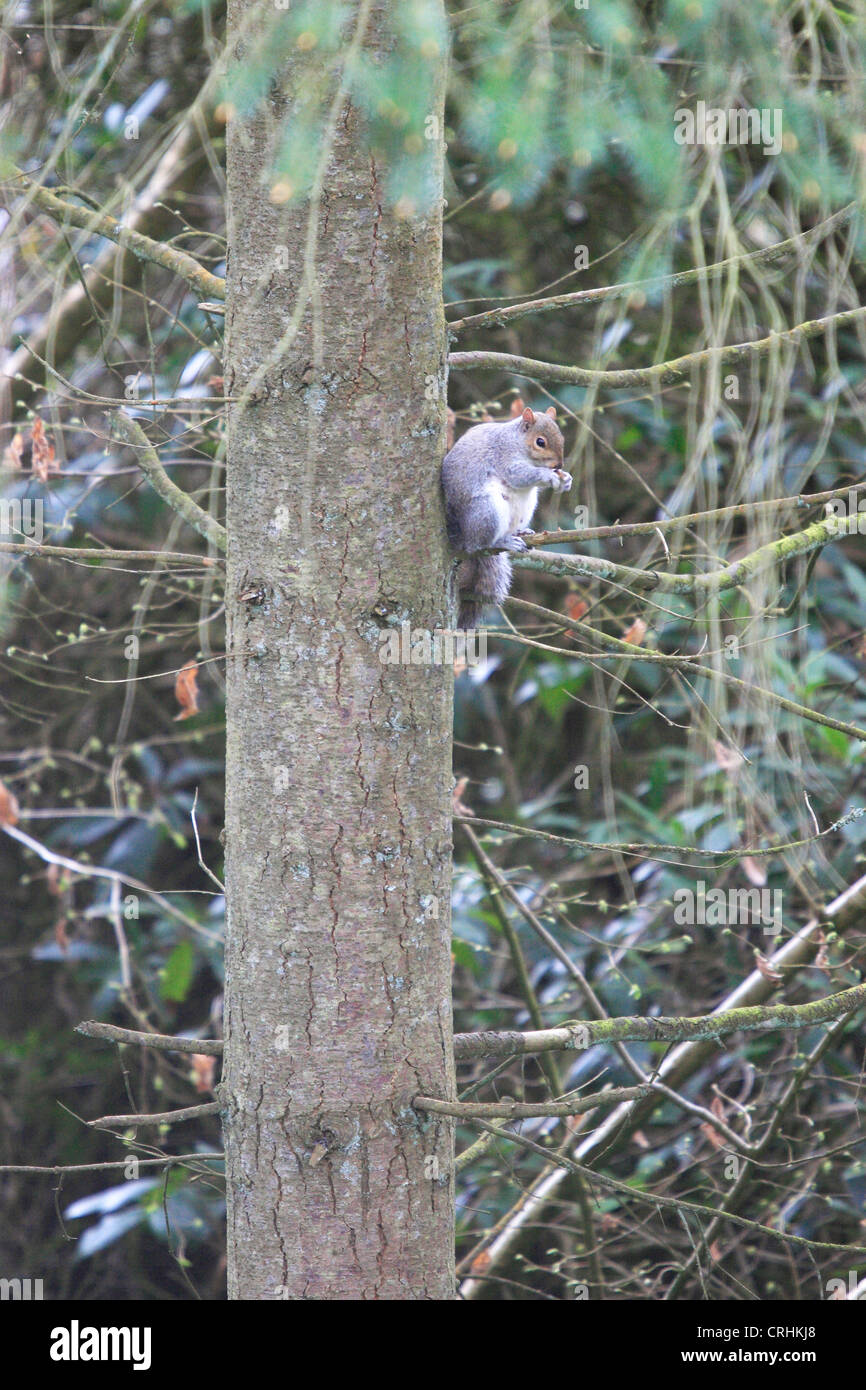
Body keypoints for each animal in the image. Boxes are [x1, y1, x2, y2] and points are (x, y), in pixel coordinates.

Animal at [444, 397, 572, 625]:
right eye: (540, 442)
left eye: (561, 437)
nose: (559, 464)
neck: (516, 441)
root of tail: (463, 540)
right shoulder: (504, 457)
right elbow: (518, 475)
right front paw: (548, 476)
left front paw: (566, 479)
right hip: (486, 511)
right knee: (480, 544)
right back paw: (502, 542)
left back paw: (522, 532)